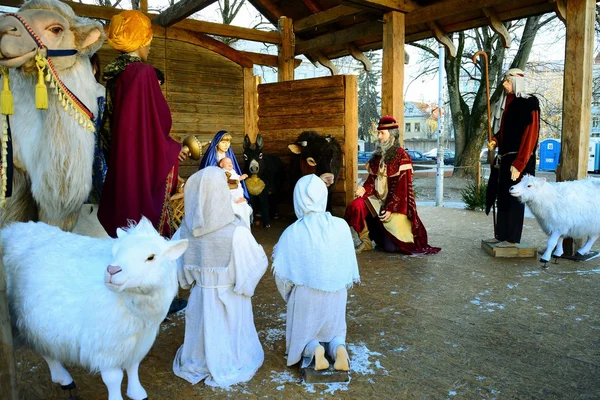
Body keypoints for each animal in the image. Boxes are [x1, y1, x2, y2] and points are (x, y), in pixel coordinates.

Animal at [1, 217, 188, 400]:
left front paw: (137, 393)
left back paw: (62, 378)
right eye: (115, 250)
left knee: (44, 346)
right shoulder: (105, 344)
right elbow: (114, 378)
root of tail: (11, 229)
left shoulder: (138, 341)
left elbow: (133, 366)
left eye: (151, 257)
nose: (112, 270)